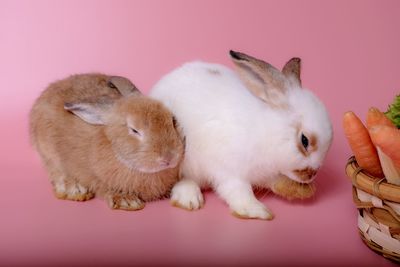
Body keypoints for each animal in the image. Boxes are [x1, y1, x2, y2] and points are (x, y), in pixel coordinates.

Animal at [30, 74, 185, 211]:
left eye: (172, 120)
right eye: (134, 130)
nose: (170, 158)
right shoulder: (96, 179)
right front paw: (127, 202)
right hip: (48, 152)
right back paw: (75, 190)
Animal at [148, 50, 332, 220]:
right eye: (304, 140)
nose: (312, 175)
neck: (267, 131)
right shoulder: (228, 170)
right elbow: (239, 191)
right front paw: (258, 211)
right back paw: (189, 199)